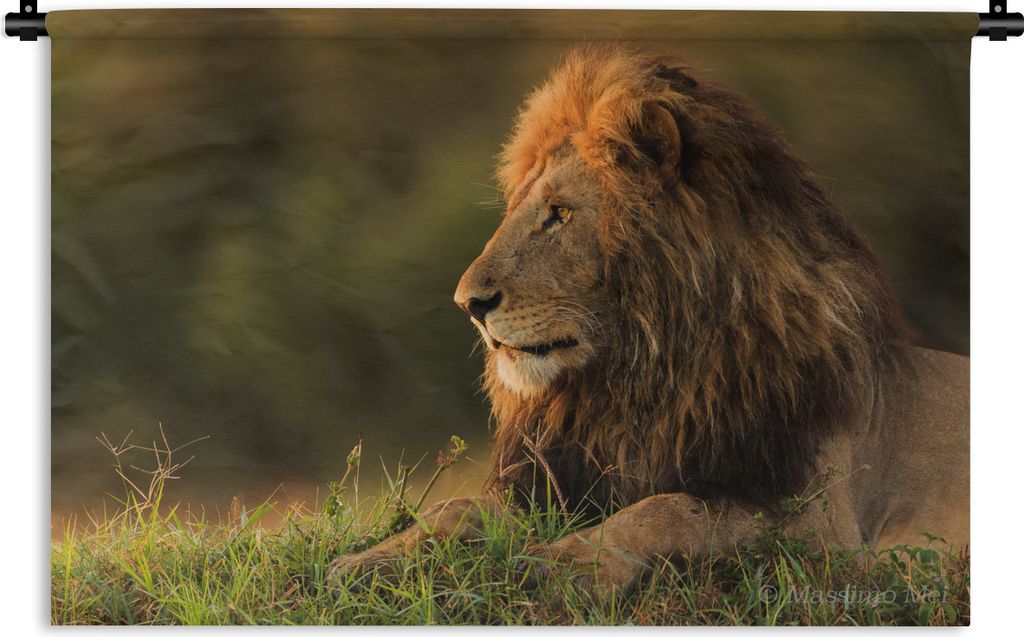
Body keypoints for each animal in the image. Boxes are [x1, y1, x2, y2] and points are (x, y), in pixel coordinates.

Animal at [329, 45, 969, 594]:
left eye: (560, 214)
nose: (468, 303)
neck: (644, 378)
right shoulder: (562, 481)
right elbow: (454, 506)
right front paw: (364, 563)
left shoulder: (822, 528)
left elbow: (670, 509)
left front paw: (564, 565)